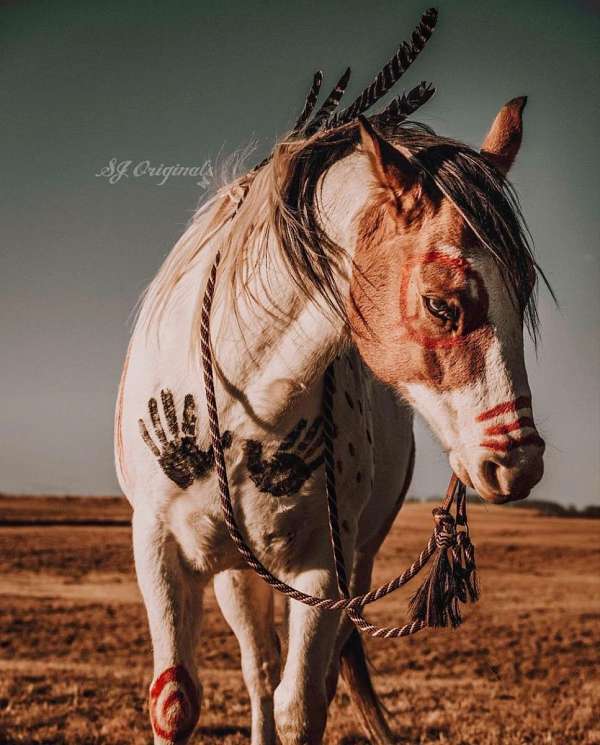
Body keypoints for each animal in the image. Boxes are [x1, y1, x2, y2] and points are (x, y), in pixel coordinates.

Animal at [114, 89, 546, 743]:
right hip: (236, 573)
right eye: (439, 304)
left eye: (522, 298)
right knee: (258, 668)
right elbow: (177, 700)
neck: (248, 401)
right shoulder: (160, 550)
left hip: (352, 571)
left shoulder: (322, 570)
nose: (517, 464)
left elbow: (301, 706)